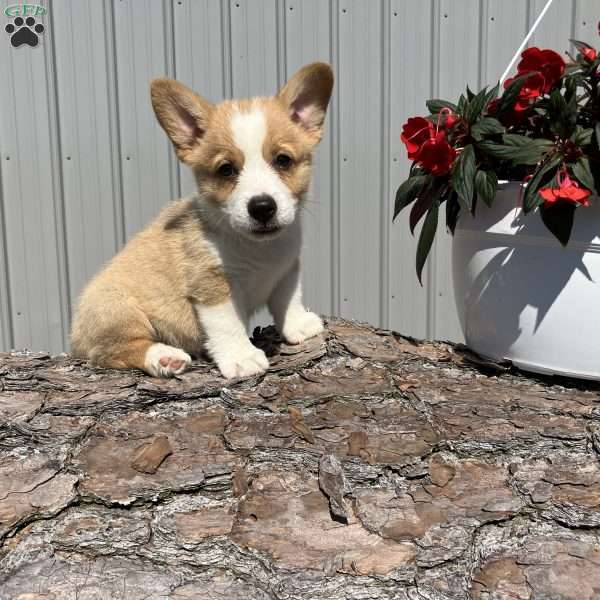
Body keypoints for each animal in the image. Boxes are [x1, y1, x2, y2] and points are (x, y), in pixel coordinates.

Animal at [71, 62, 336, 380]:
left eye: (283, 160)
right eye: (226, 169)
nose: (262, 208)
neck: (257, 247)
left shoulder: (287, 269)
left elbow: (288, 299)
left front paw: (299, 325)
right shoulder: (212, 287)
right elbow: (228, 325)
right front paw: (242, 358)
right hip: (117, 309)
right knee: (113, 351)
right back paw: (165, 357)